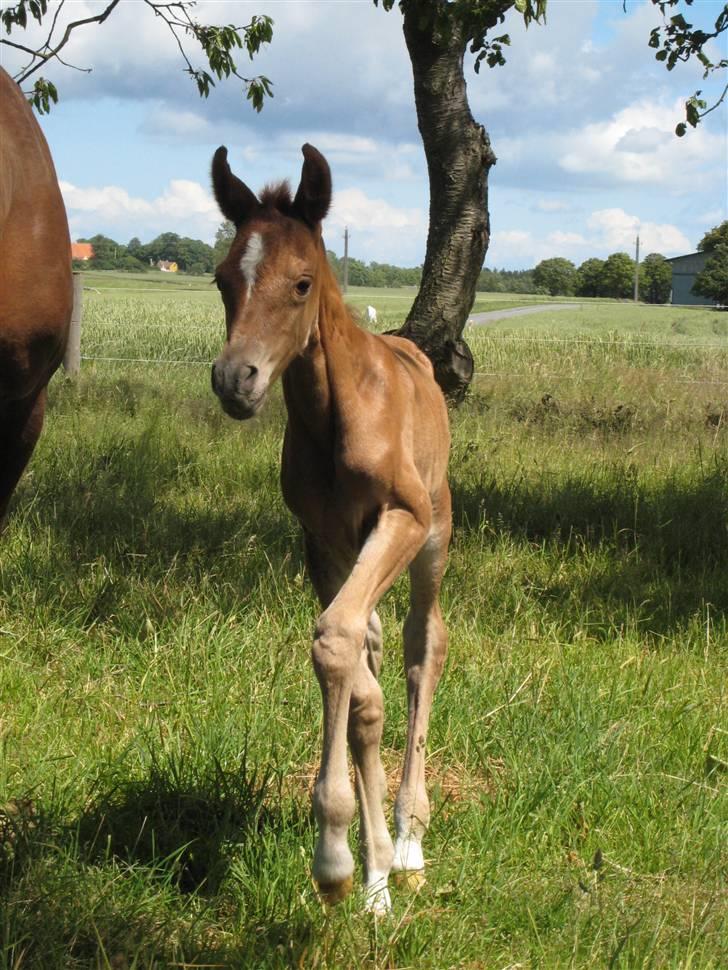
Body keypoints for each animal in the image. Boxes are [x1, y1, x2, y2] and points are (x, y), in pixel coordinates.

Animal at [209, 142, 450, 908]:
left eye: (302, 282)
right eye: (223, 279)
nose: (235, 380)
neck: (338, 410)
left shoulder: (402, 518)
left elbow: (340, 642)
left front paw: (341, 862)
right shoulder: (318, 540)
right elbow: (354, 672)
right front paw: (363, 870)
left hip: (435, 539)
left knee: (422, 646)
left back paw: (408, 838)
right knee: (373, 651)